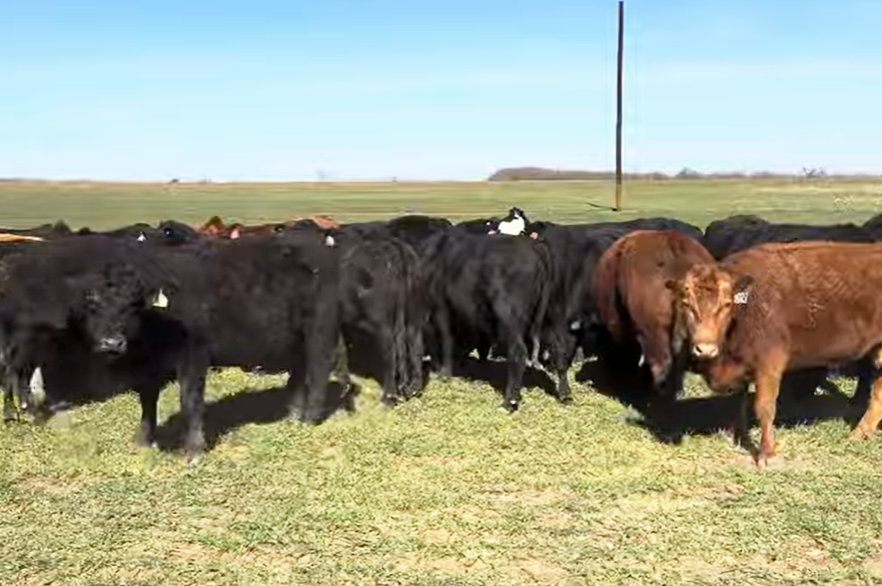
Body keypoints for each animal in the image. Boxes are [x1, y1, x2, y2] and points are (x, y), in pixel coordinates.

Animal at [665, 241, 882, 468]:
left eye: (727, 304)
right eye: (686, 304)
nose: (705, 348)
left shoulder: (769, 364)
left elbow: (764, 407)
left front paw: (766, 453)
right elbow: (739, 402)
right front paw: (734, 434)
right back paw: (860, 433)